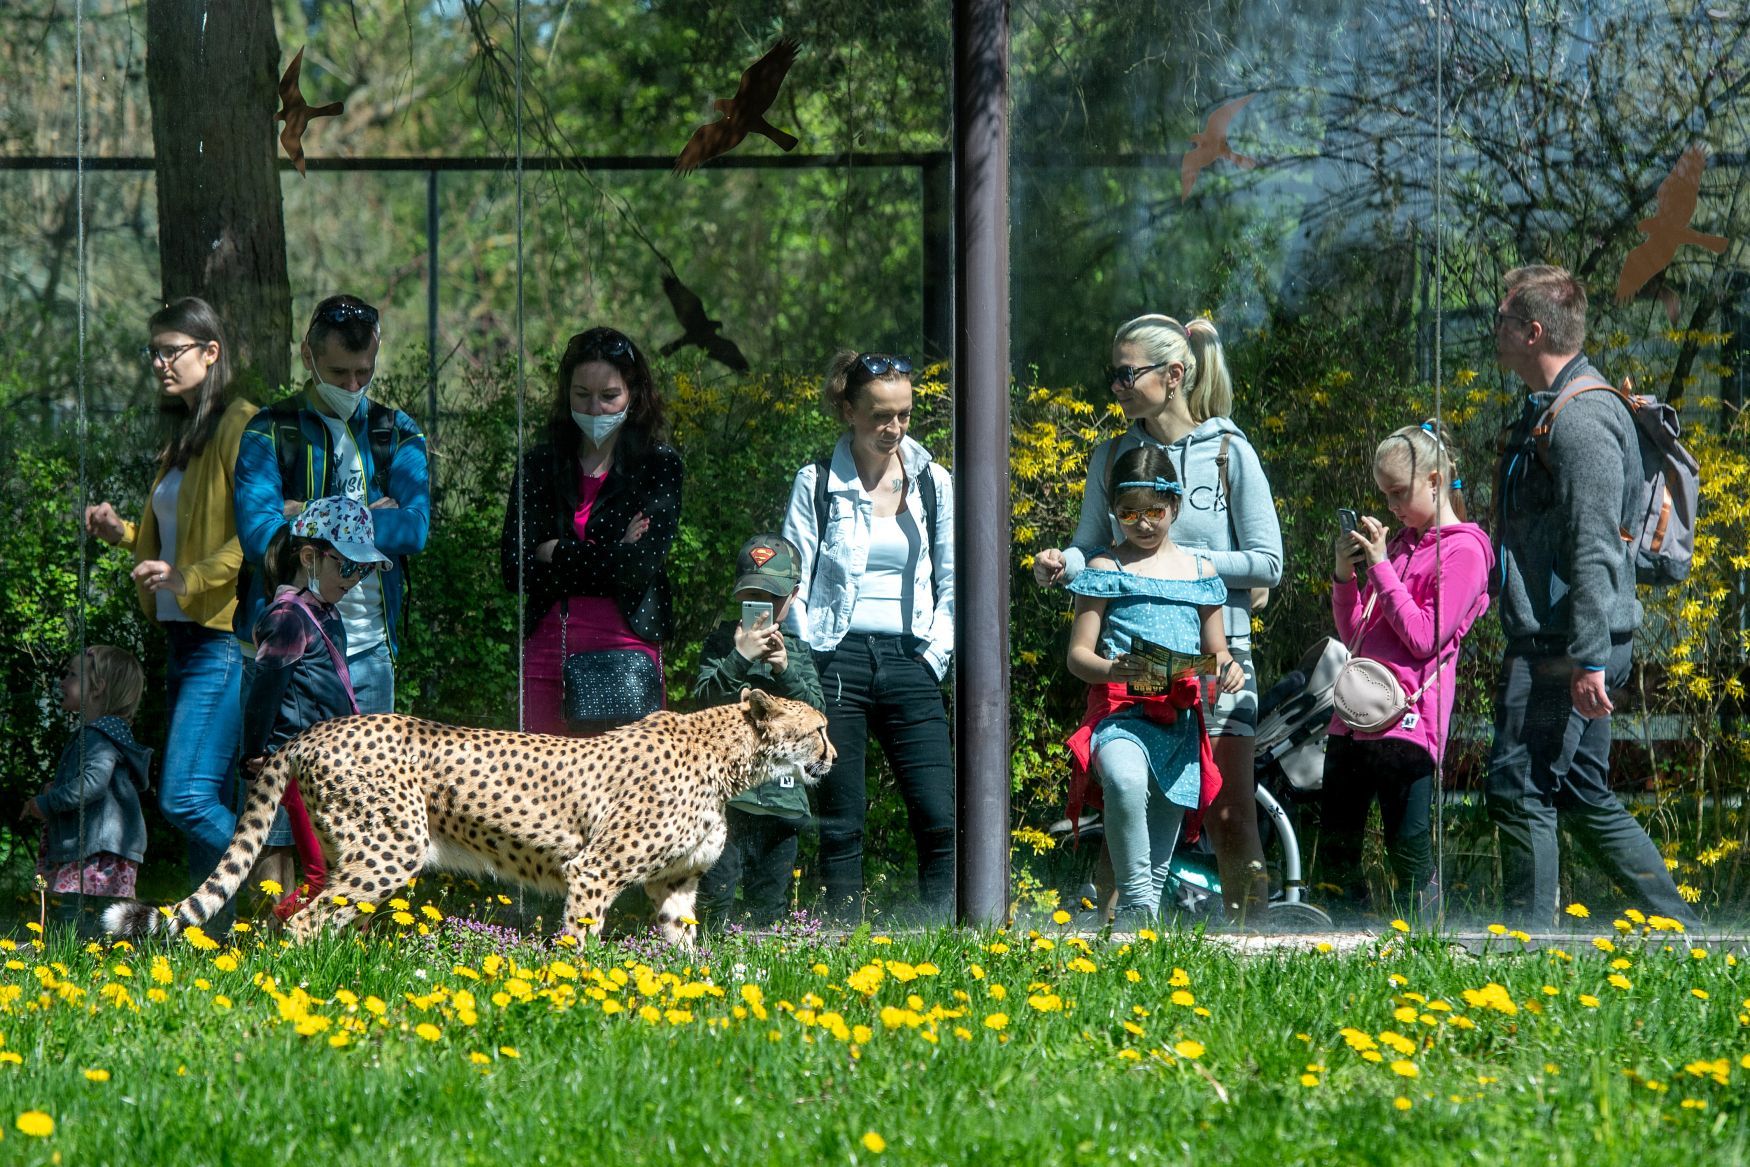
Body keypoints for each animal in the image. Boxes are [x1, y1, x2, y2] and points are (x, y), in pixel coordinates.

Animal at [107, 689, 833, 944]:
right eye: (819, 728)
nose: (830, 753)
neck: (728, 757)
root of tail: (314, 730)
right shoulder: (593, 871)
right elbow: (580, 944)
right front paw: (574, 1001)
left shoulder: (674, 884)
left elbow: (685, 951)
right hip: (386, 849)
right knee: (304, 921)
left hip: (351, 855)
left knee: (308, 913)